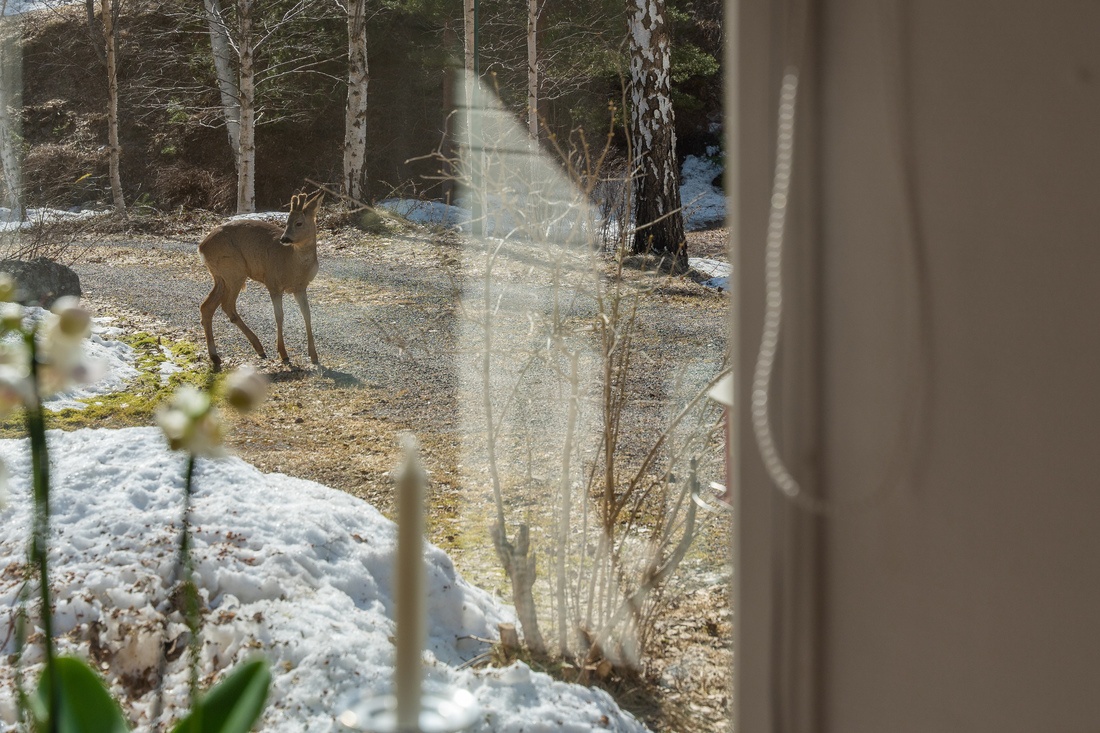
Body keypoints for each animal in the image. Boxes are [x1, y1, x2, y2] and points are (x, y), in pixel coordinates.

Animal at [200, 189, 323, 367]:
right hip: (234, 271)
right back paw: (256, 349)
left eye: (298, 223)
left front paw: (314, 356)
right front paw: (284, 354)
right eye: (287, 221)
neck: (293, 263)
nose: (284, 239)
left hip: (220, 276)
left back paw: (217, 356)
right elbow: (279, 316)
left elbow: (307, 314)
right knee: (227, 305)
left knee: (208, 306)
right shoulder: (273, 283)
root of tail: (201, 247)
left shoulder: (300, 287)